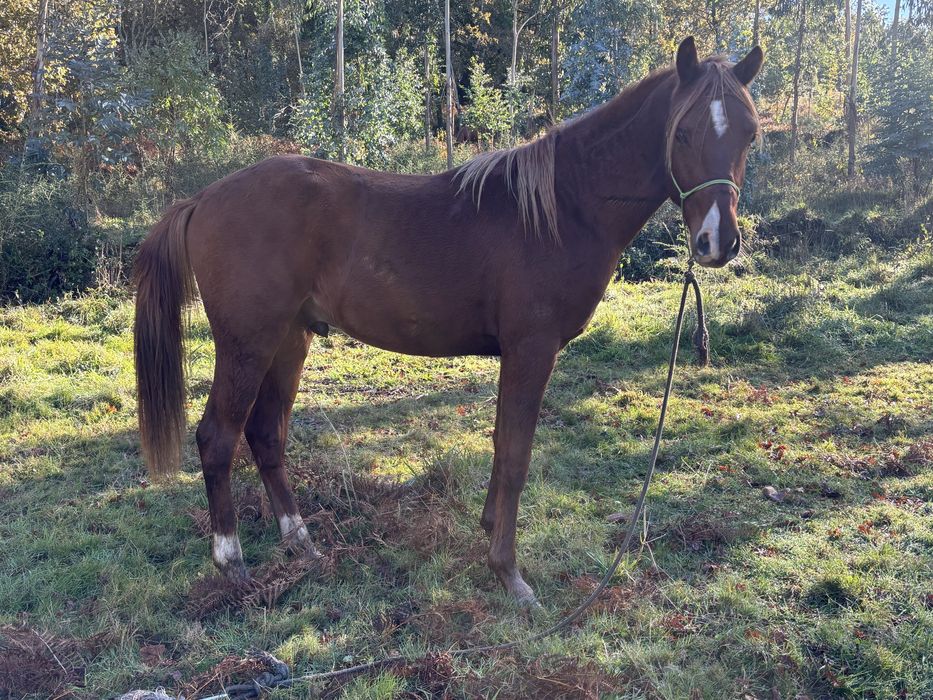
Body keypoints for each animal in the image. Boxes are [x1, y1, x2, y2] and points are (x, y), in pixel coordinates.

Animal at [134, 37, 763, 605]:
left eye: (749, 134)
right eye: (682, 134)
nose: (717, 242)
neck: (562, 207)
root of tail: (203, 199)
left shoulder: (518, 354)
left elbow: (502, 445)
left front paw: (489, 531)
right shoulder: (532, 348)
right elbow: (516, 455)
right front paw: (509, 574)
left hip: (289, 339)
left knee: (266, 434)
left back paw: (302, 542)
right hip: (248, 343)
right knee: (218, 437)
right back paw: (232, 562)